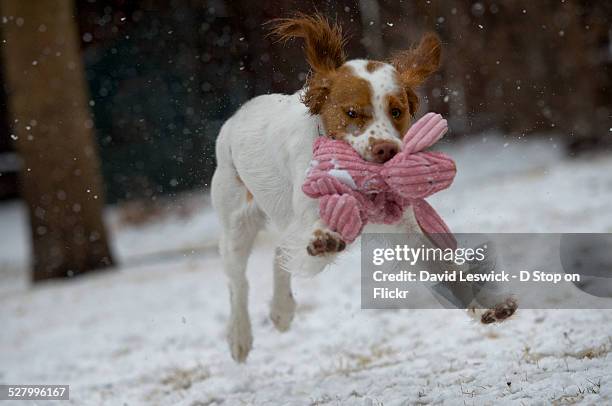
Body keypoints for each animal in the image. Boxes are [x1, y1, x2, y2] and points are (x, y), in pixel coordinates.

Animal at [210, 13, 516, 362]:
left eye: (396, 111)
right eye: (352, 112)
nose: (386, 150)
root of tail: (235, 117)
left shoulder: (401, 225)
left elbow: (445, 265)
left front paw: (487, 305)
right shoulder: (310, 205)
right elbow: (317, 227)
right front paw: (327, 238)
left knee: (280, 251)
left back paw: (281, 311)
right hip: (236, 224)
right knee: (238, 281)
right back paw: (240, 335)